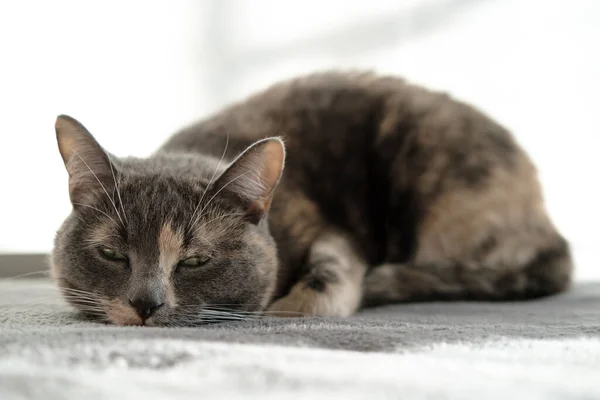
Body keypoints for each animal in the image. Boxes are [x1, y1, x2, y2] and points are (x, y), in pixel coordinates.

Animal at [49, 70, 568, 326]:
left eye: (195, 261)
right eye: (113, 254)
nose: (145, 304)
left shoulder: (330, 231)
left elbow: (326, 280)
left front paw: (287, 307)